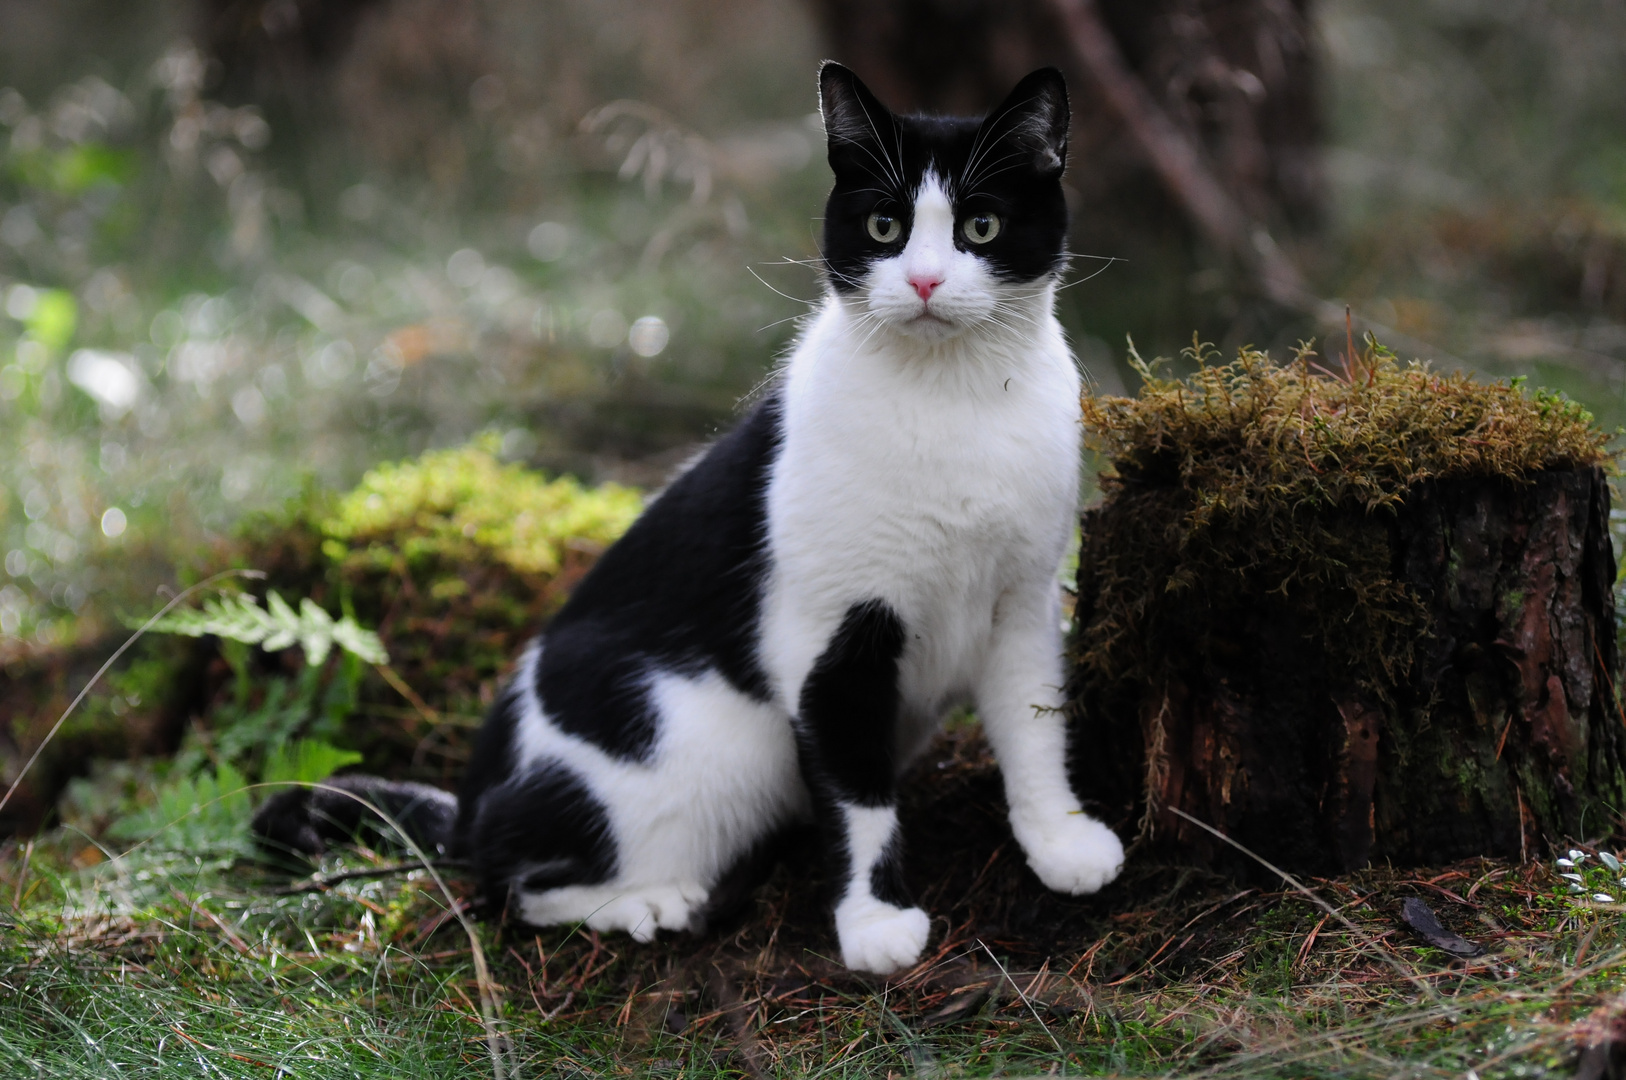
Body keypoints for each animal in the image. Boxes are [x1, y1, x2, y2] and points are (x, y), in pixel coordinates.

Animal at [253, 60, 1125, 975]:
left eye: (981, 225)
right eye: (884, 225)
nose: (923, 281)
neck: (951, 398)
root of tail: (472, 792)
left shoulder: (1023, 604)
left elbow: (1035, 727)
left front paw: (1059, 838)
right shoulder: (828, 640)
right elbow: (858, 796)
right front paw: (874, 921)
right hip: (688, 740)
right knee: (507, 872)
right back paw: (650, 903)